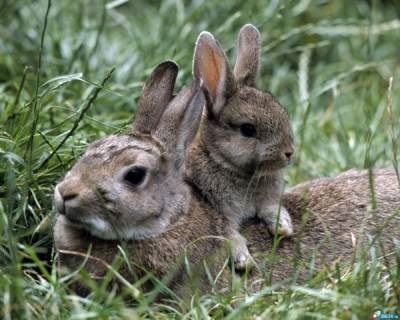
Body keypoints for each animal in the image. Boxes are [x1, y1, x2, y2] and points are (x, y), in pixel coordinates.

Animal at [184, 24, 294, 270]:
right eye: (247, 129)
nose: (289, 153)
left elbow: (271, 208)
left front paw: (283, 227)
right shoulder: (218, 211)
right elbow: (228, 234)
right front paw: (244, 259)